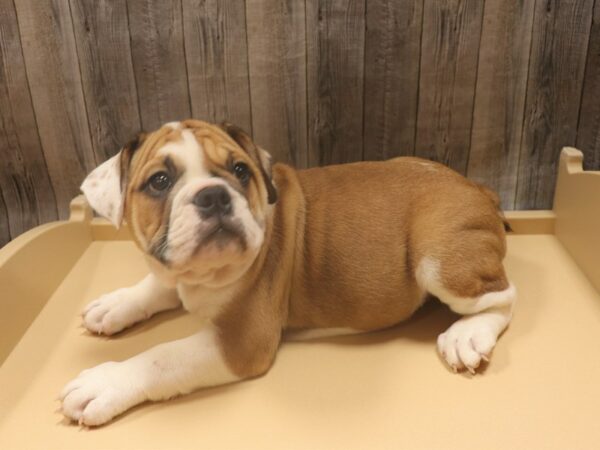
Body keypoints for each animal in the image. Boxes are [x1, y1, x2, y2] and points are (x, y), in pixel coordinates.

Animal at [59, 118, 516, 426]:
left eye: (240, 171)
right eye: (159, 181)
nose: (213, 195)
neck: (202, 277)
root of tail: (476, 188)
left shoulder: (241, 342)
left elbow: (161, 357)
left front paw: (104, 383)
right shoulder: (177, 272)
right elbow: (156, 284)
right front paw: (114, 304)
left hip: (438, 258)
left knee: (504, 297)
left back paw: (466, 335)